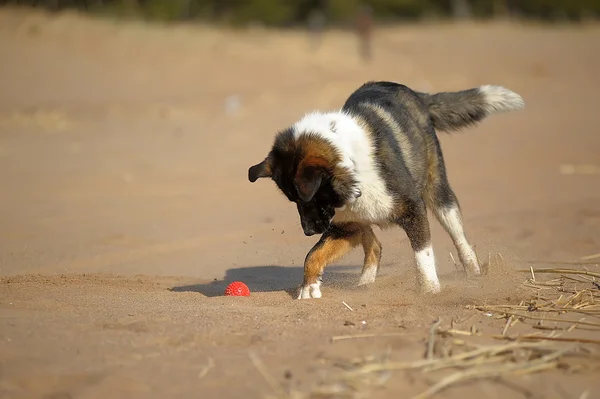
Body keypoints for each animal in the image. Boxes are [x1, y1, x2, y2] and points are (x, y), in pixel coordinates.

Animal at [246, 82, 524, 300]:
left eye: (308, 197)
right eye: (293, 199)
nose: (308, 231)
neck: (352, 166)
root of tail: (413, 92)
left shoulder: (413, 210)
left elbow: (423, 255)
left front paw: (430, 292)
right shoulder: (343, 226)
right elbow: (313, 255)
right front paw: (309, 287)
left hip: (439, 192)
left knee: (459, 236)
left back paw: (473, 271)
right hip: (363, 218)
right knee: (375, 244)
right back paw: (365, 282)